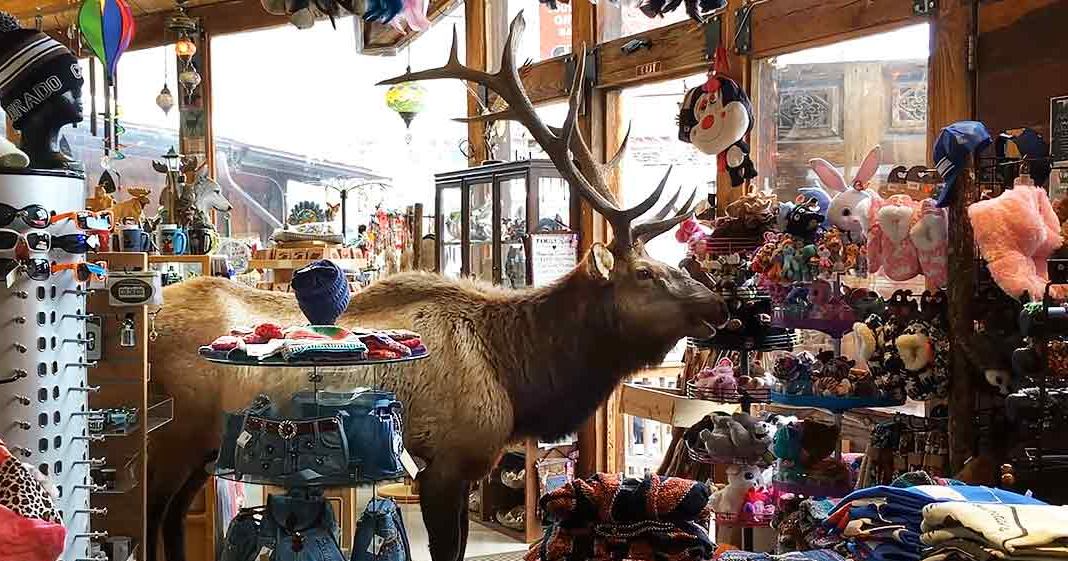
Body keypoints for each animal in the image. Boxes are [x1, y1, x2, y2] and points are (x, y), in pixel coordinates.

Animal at [145, 13, 729, 561]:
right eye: (647, 274)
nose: (720, 305)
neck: (518, 373)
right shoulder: (445, 464)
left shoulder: (464, 468)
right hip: (171, 433)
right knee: (149, 514)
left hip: (205, 447)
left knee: (171, 518)